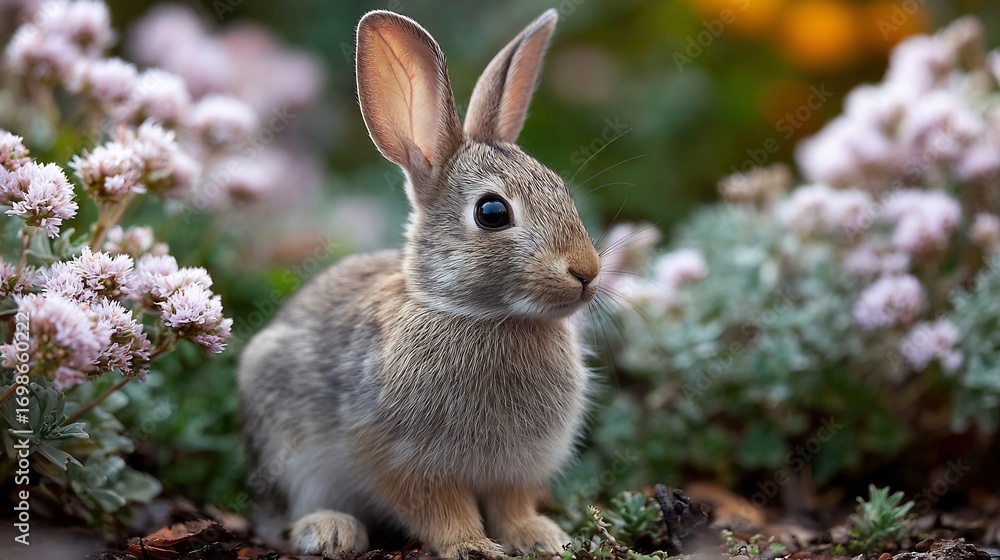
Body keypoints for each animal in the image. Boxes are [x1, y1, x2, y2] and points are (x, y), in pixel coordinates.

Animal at [237, 8, 601, 558]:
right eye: (492, 212)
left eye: (562, 190)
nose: (588, 272)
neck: (481, 316)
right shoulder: (401, 458)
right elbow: (440, 509)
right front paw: (472, 547)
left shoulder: (514, 470)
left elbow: (512, 506)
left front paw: (540, 536)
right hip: (287, 445)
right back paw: (330, 530)